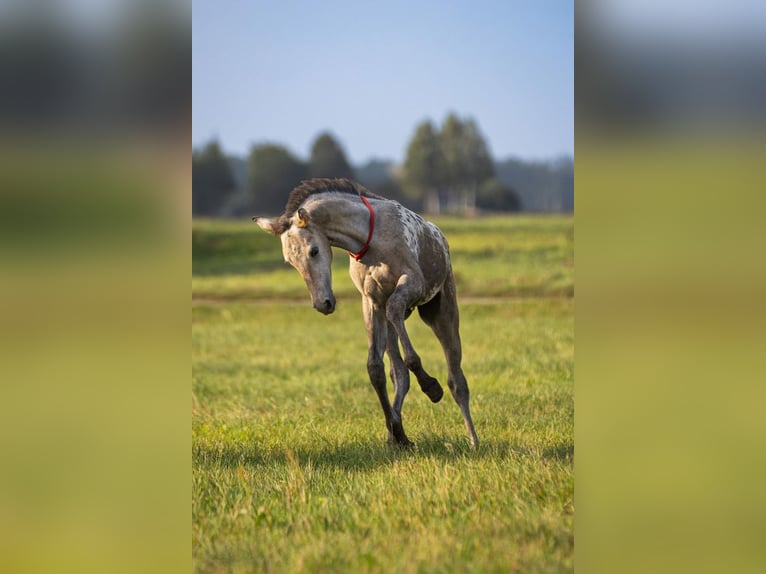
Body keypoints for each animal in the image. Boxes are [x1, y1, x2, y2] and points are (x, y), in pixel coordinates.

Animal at [253, 178, 478, 448]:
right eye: (290, 261)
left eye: (314, 251)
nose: (323, 303)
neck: (373, 240)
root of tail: (440, 238)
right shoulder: (372, 302)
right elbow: (376, 369)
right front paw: (396, 432)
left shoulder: (413, 284)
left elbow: (405, 344)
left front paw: (431, 387)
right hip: (392, 320)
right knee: (399, 373)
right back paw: (397, 435)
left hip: (441, 312)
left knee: (456, 378)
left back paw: (473, 439)